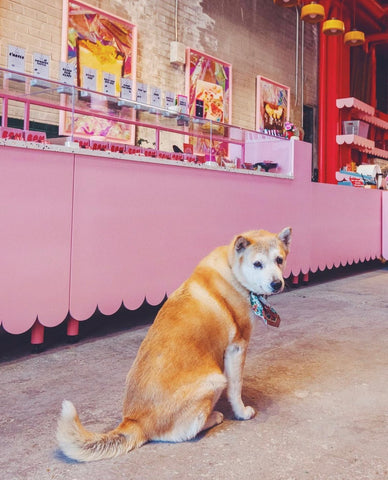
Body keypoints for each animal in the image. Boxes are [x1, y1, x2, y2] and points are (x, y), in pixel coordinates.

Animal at [55, 227, 292, 464]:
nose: (277, 284)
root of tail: (135, 421)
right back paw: (213, 417)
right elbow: (235, 387)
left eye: (279, 260)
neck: (232, 271)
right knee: (183, 433)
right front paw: (241, 412)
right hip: (215, 381)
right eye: (257, 264)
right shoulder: (237, 347)